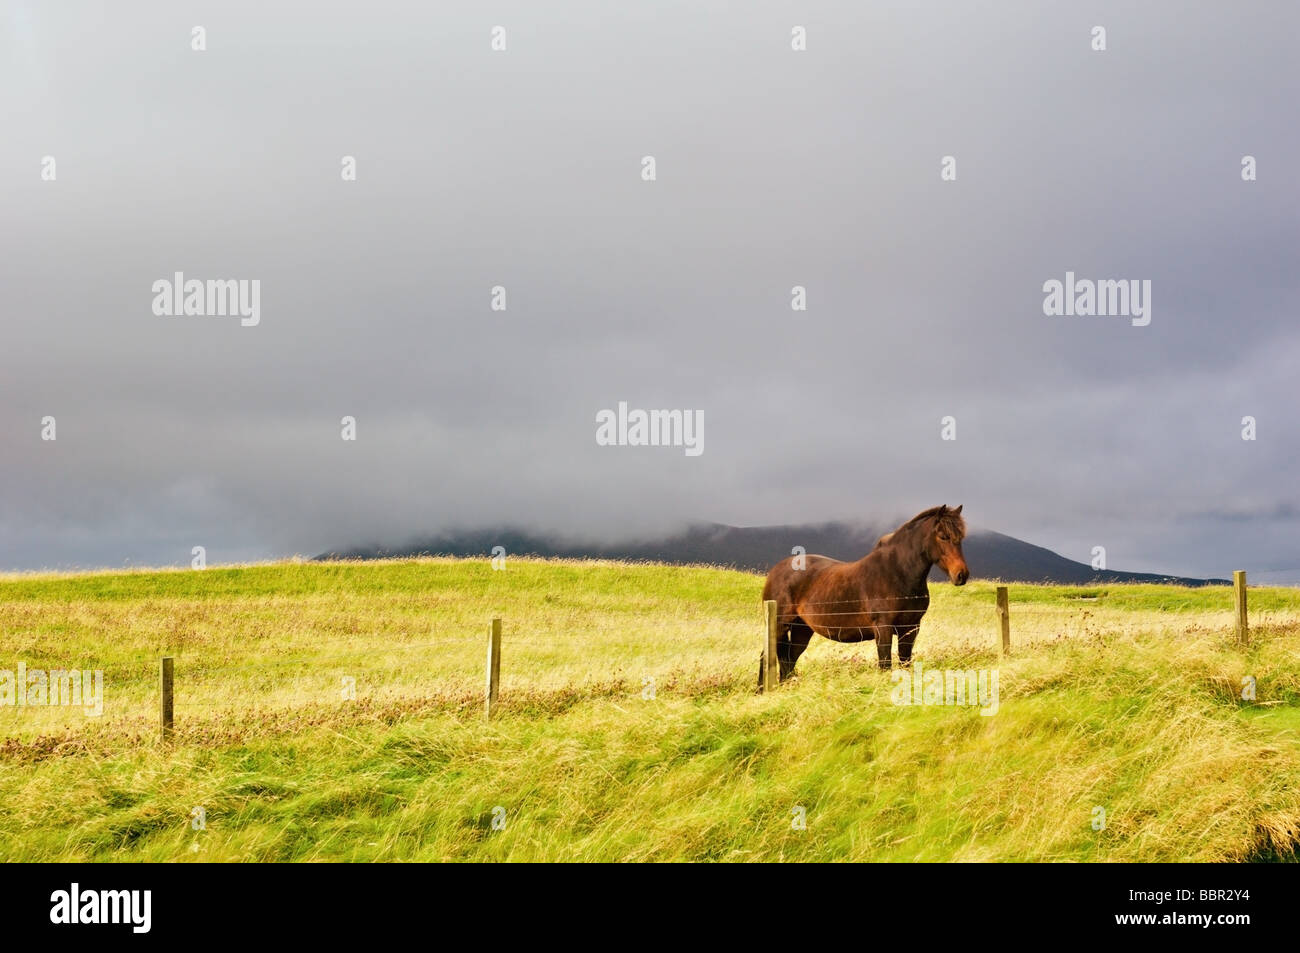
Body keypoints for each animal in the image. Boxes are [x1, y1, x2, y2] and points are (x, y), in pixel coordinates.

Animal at [759, 504, 967, 686]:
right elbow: (885, 665)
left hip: (802, 629)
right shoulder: (883, 628)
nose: (961, 575)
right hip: (779, 625)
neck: (897, 572)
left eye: (961, 537)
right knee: (766, 656)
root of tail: (776, 571)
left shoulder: (910, 628)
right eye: (943, 536)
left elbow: (905, 663)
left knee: (789, 659)